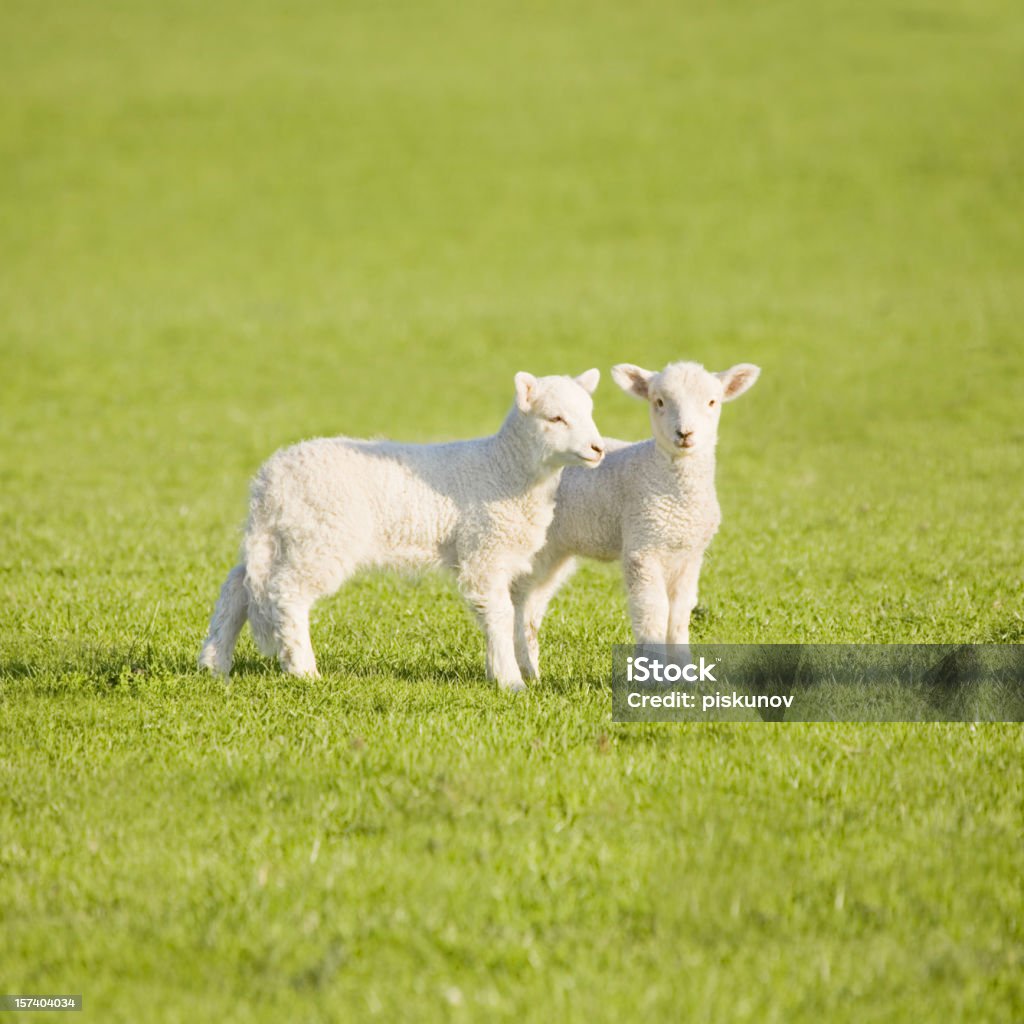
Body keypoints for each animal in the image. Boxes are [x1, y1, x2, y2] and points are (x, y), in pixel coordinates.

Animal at [195, 368, 602, 688]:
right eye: (555, 419)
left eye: (589, 413)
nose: (597, 448)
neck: (504, 469)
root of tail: (269, 479)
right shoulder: (484, 550)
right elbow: (500, 614)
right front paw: (510, 681)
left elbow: (502, 616)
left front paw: (497, 671)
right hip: (322, 536)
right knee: (286, 593)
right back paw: (303, 670)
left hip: (285, 536)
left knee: (239, 585)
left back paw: (214, 663)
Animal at [512, 360, 761, 679]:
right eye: (659, 402)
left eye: (712, 402)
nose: (685, 433)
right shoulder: (642, 548)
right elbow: (653, 611)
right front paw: (653, 674)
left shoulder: (689, 555)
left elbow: (679, 614)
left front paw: (685, 672)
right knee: (518, 597)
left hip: (555, 549)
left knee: (533, 605)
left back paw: (532, 672)